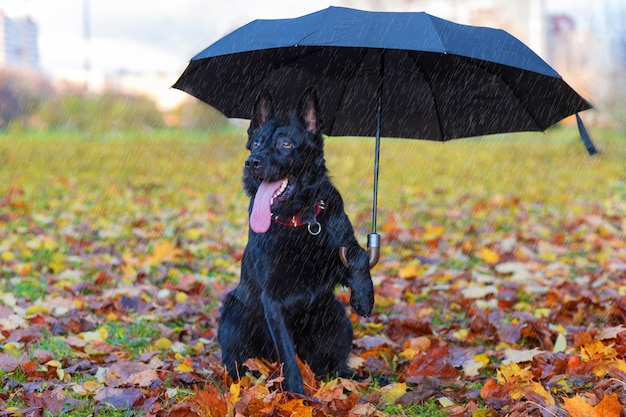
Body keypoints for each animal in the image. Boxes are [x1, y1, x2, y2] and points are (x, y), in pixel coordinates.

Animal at [217, 88, 372, 394]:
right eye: (255, 143)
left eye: (285, 144)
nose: (252, 163)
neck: (300, 220)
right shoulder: (273, 301)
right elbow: (288, 354)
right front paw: (297, 395)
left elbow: (358, 253)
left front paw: (365, 295)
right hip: (234, 313)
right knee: (239, 366)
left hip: (337, 317)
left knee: (337, 368)